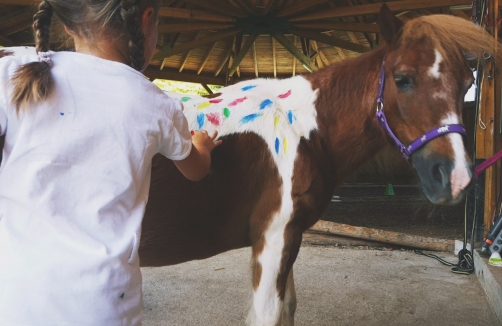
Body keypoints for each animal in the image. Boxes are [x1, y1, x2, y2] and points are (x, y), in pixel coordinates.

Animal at [0, 5, 498, 326]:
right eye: (403, 79)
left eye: (467, 83)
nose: (454, 177)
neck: (302, 130)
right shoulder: (273, 239)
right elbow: (267, 315)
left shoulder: (289, 237)